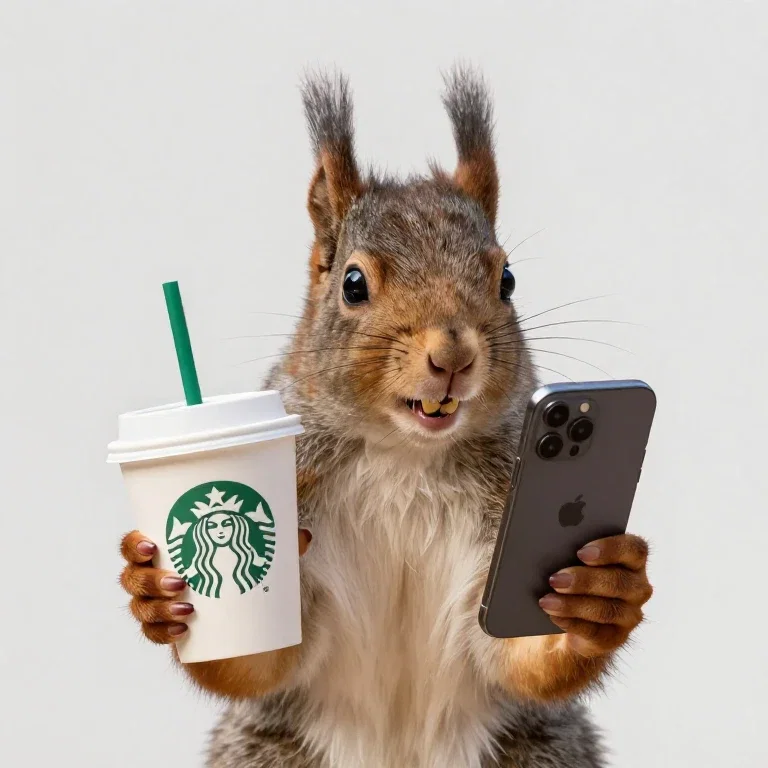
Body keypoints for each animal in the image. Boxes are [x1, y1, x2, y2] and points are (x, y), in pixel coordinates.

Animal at [119, 66, 653, 768]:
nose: (451, 354)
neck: (406, 458)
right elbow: (265, 662)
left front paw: (602, 591)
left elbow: (517, 657)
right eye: (353, 284)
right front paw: (153, 590)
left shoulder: (495, 549)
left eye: (507, 280)